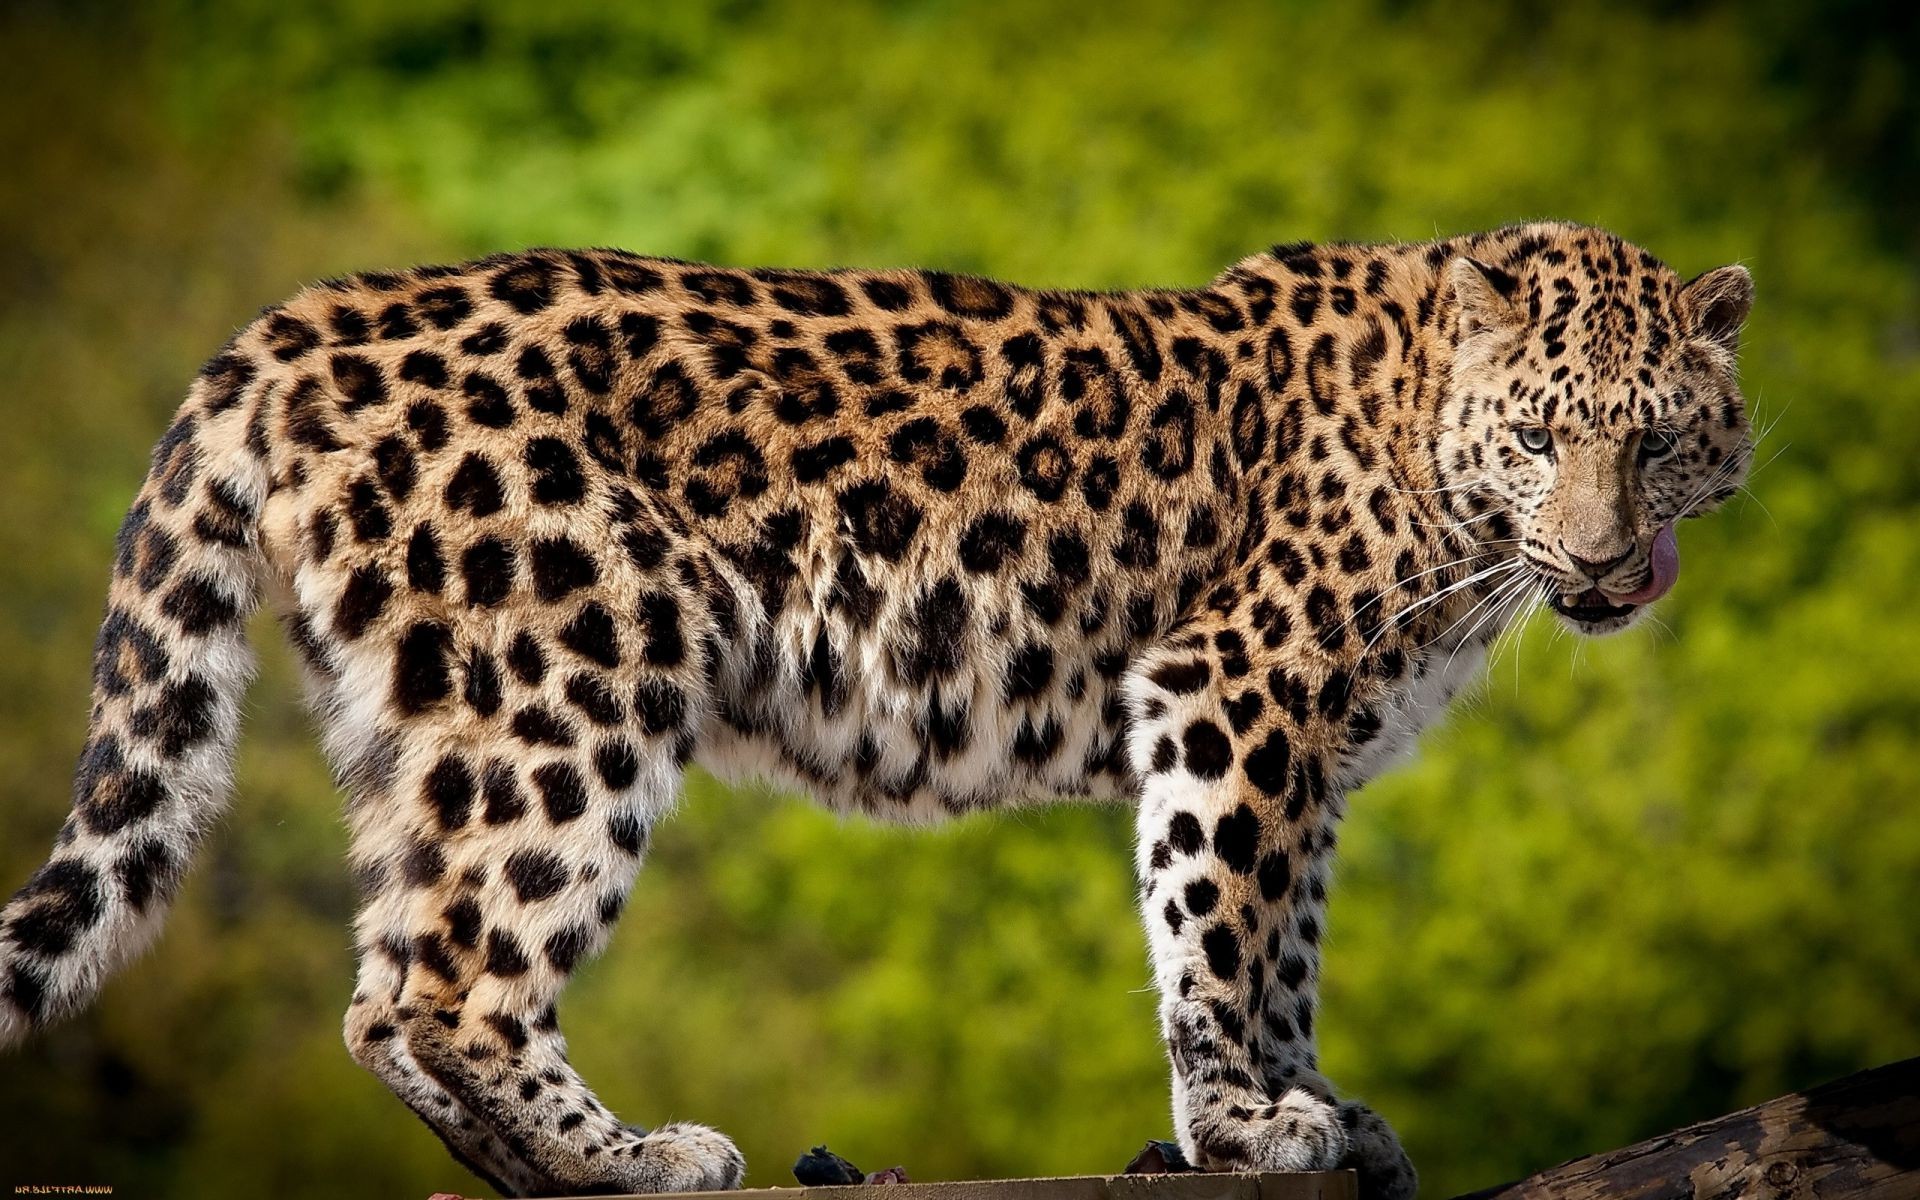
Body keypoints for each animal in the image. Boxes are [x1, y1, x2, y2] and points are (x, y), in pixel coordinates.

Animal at [0, 219, 1751, 1190]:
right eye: (1541, 438)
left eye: (1661, 439)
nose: (1607, 560)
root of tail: (296, 327)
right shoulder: (1234, 691)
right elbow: (1219, 925)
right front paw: (1245, 1127)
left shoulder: (1308, 749)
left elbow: (1290, 945)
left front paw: (1319, 1106)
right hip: (576, 679)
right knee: (451, 982)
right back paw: (635, 1163)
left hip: (423, 718)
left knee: (385, 978)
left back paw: (560, 1172)